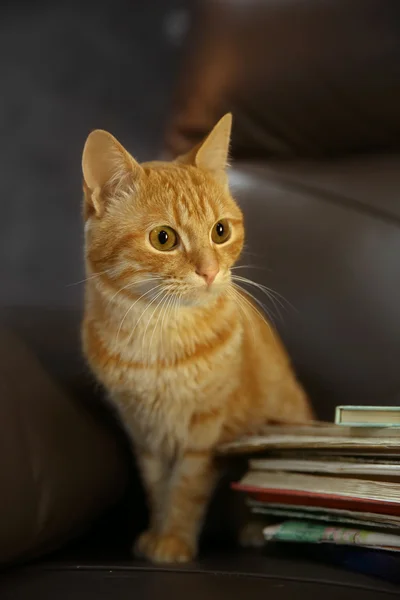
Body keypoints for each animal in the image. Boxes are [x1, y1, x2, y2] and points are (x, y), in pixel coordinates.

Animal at [81, 115, 312, 564]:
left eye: (220, 231)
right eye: (164, 238)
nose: (209, 271)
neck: (158, 340)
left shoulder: (205, 432)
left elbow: (186, 491)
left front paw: (173, 541)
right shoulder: (144, 432)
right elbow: (157, 488)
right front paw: (157, 533)